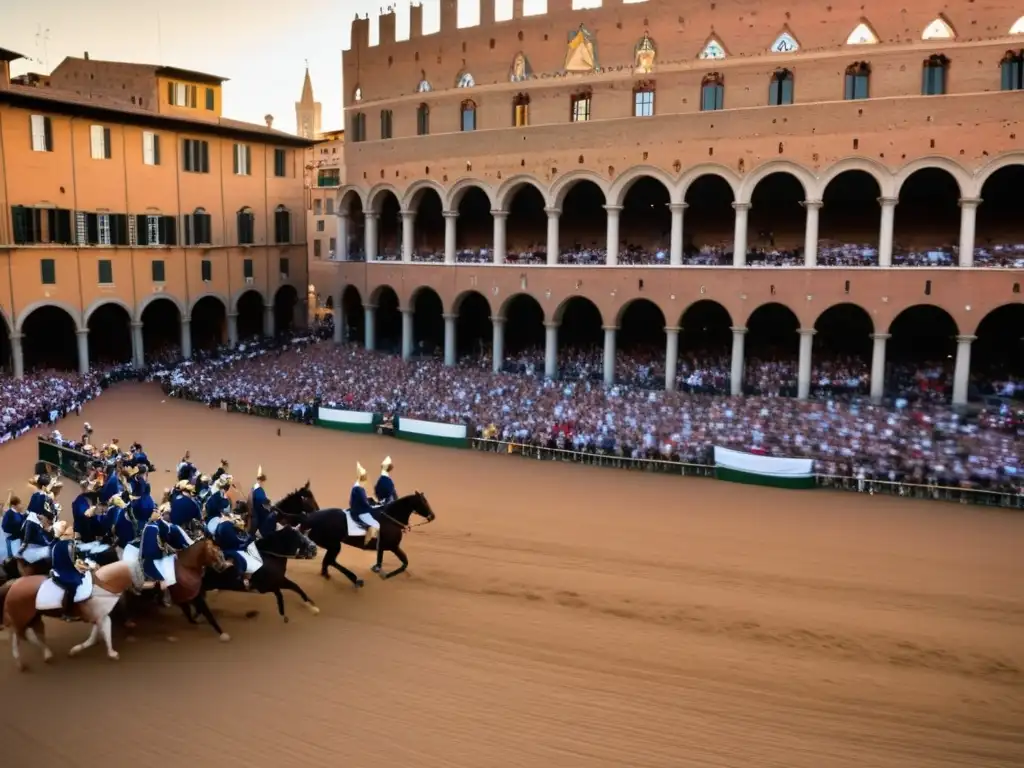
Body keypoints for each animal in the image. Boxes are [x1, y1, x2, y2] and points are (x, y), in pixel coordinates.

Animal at [0, 561, 137, 671]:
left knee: (31, 635)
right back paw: (21, 663)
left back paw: (47, 654)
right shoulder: (103, 617)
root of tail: (14, 584)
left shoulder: (99, 617)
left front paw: (75, 650)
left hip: (34, 618)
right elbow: (106, 635)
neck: (102, 586)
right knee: (17, 637)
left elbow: (93, 638)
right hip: (21, 618)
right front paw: (112, 654)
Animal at [299, 493, 438, 581]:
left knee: (328, 561)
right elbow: (403, 563)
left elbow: (399, 561)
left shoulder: (386, 547)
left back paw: (328, 574)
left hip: (331, 545)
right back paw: (354, 579)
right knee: (331, 561)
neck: (390, 519)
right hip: (333, 545)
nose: (432, 516)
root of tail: (307, 519)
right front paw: (385, 575)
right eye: (423, 502)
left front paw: (378, 570)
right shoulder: (392, 546)